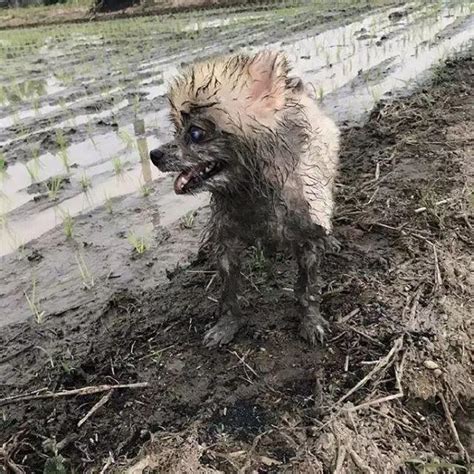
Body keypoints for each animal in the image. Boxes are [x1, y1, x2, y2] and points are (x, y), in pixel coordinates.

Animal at [150, 51, 338, 348]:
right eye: (176, 129)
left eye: (196, 133)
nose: (154, 155)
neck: (250, 189)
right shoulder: (226, 241)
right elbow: (228, 292)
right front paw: (227, 326)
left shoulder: (308, 232)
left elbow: (308, 287)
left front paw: (311, 321)